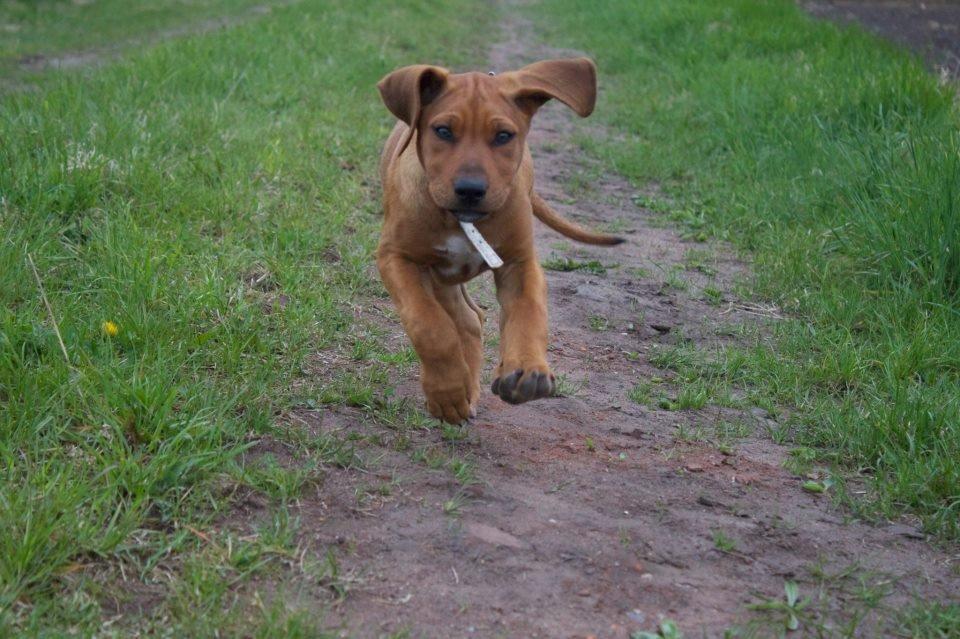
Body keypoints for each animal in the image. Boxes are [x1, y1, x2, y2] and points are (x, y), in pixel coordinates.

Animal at [376, 56, 624, 424]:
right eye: (443, 131)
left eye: (504, 136)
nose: (470, 190)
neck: (462, 221)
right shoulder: (397, 257)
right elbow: (429, 325)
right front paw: (446, 392)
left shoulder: (520, 262)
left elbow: (529, 311)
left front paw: (527, 370)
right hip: (437, 274)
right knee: (463, 319)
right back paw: (461, 390)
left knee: (470, 319)